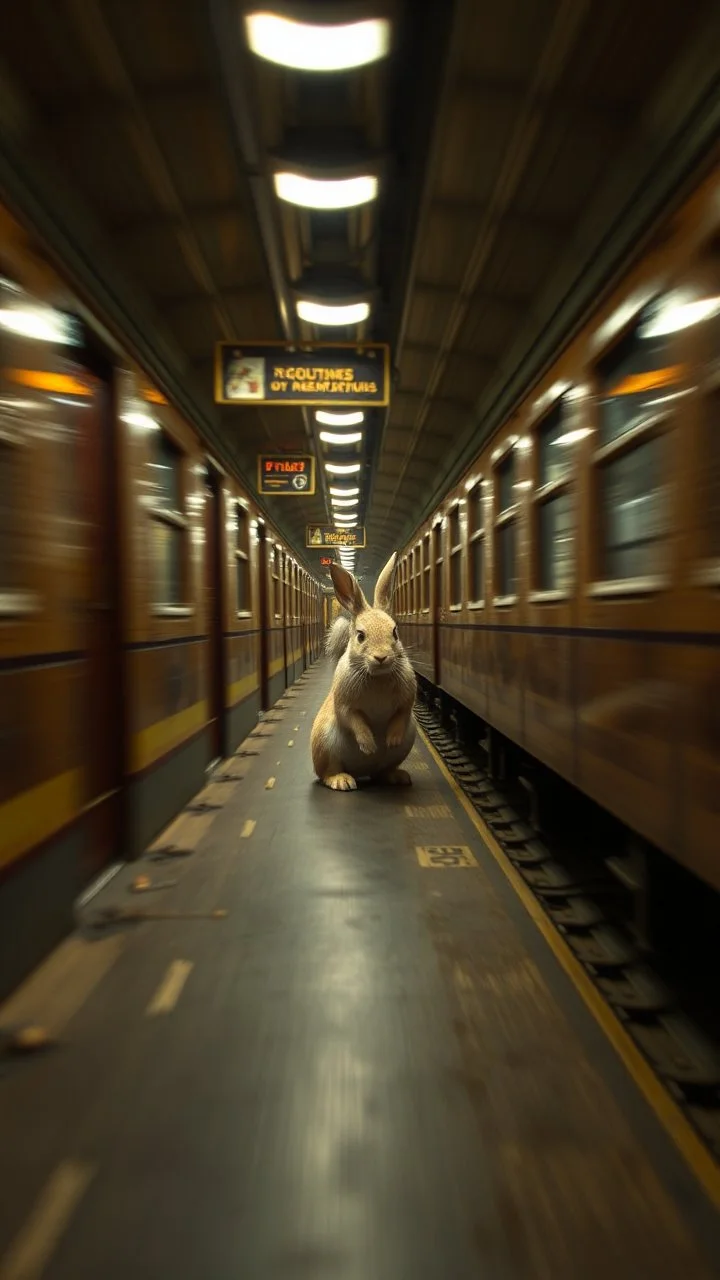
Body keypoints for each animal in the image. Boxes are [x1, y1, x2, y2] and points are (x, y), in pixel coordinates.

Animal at [311, 552, 417, 791]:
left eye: (394, 632)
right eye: (360, 635)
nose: (381, 657)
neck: (377, 676)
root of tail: (363, 772)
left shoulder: (407, 700)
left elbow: (402, 713)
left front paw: (391, 740)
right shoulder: (344, 704)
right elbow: (354, 720)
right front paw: (369, 746)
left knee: (383, 771)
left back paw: (398, 776)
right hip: (324, 744)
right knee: (327, 773)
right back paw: (343, 781)